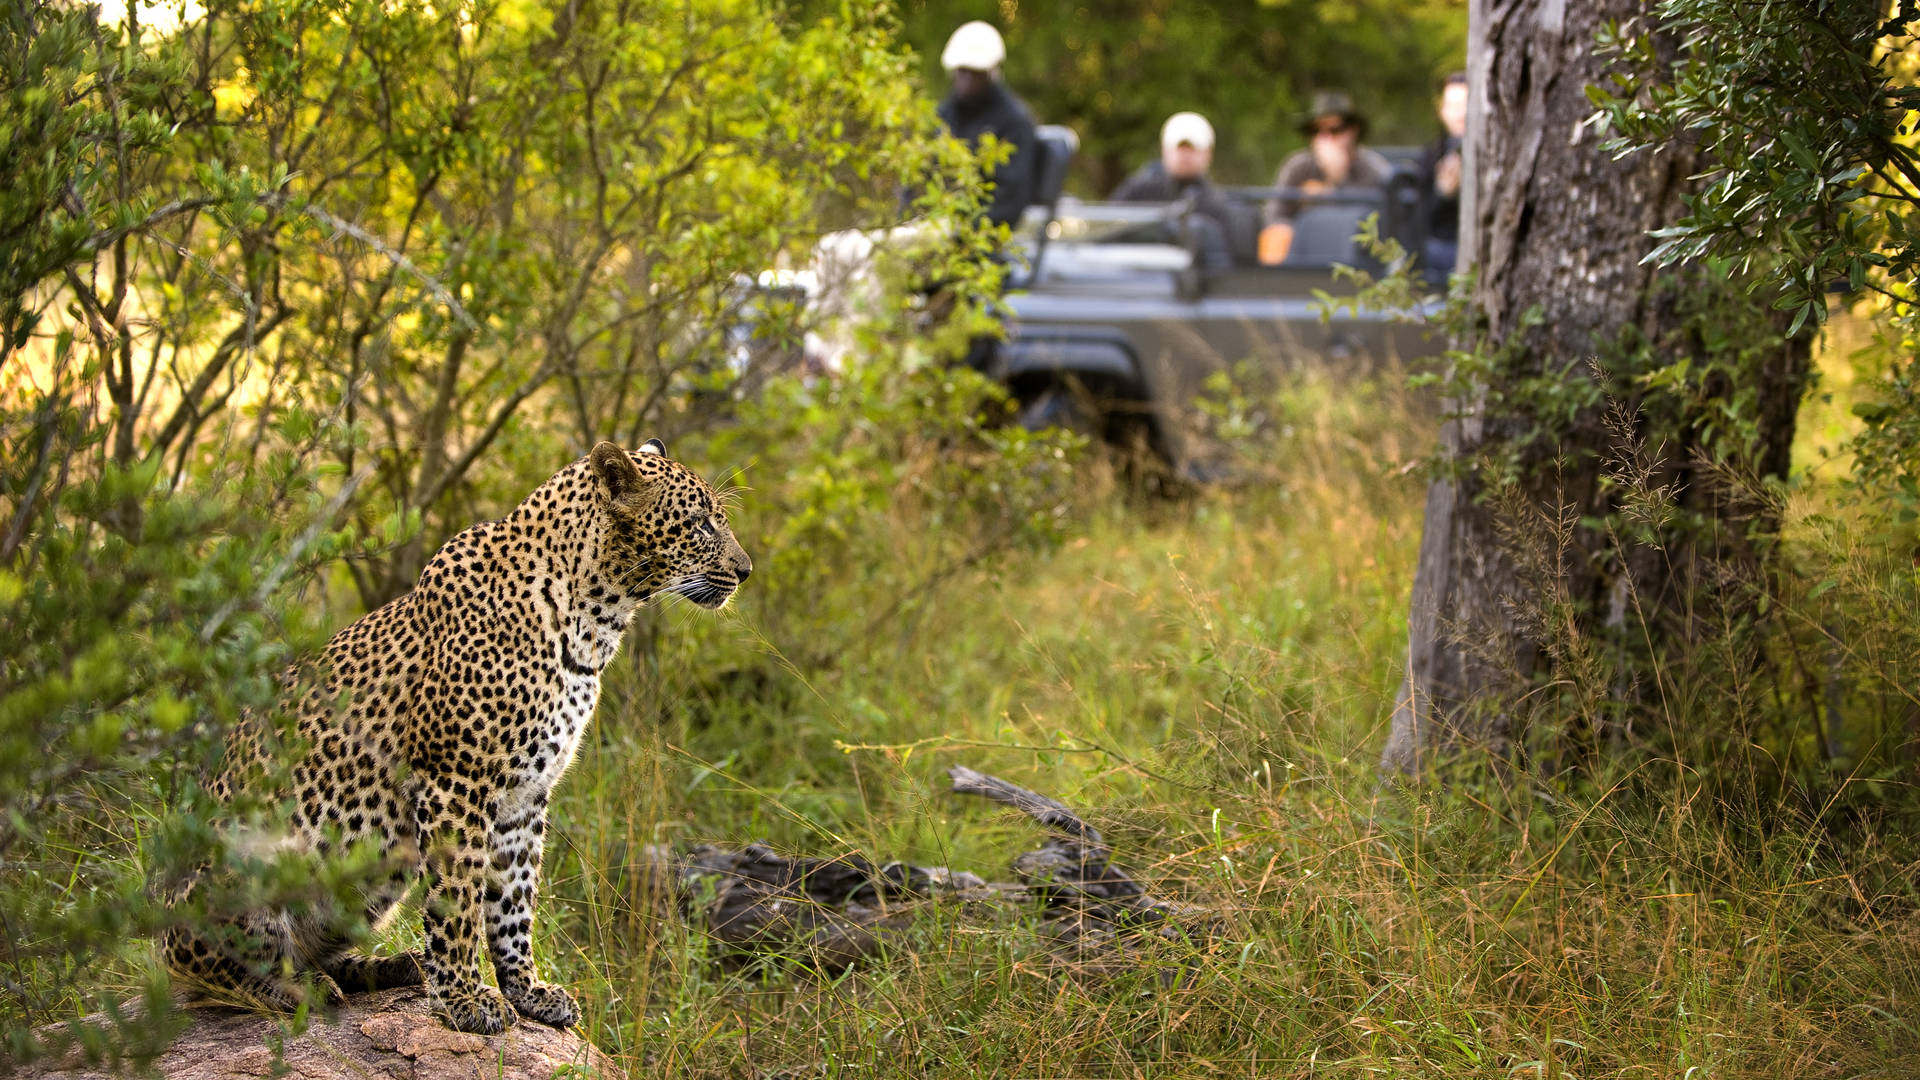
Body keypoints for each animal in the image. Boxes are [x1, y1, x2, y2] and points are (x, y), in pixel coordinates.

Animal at [163, 440, 748, 1037]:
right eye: (700, 523)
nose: (745, 571)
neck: (595, 622)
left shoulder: (525, 796)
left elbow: (513, 900)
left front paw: (526, 990)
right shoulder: (456, 782)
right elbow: (459, 899)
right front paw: (466, 998)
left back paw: (390, 967)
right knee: (211, 969)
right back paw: (298, 989)